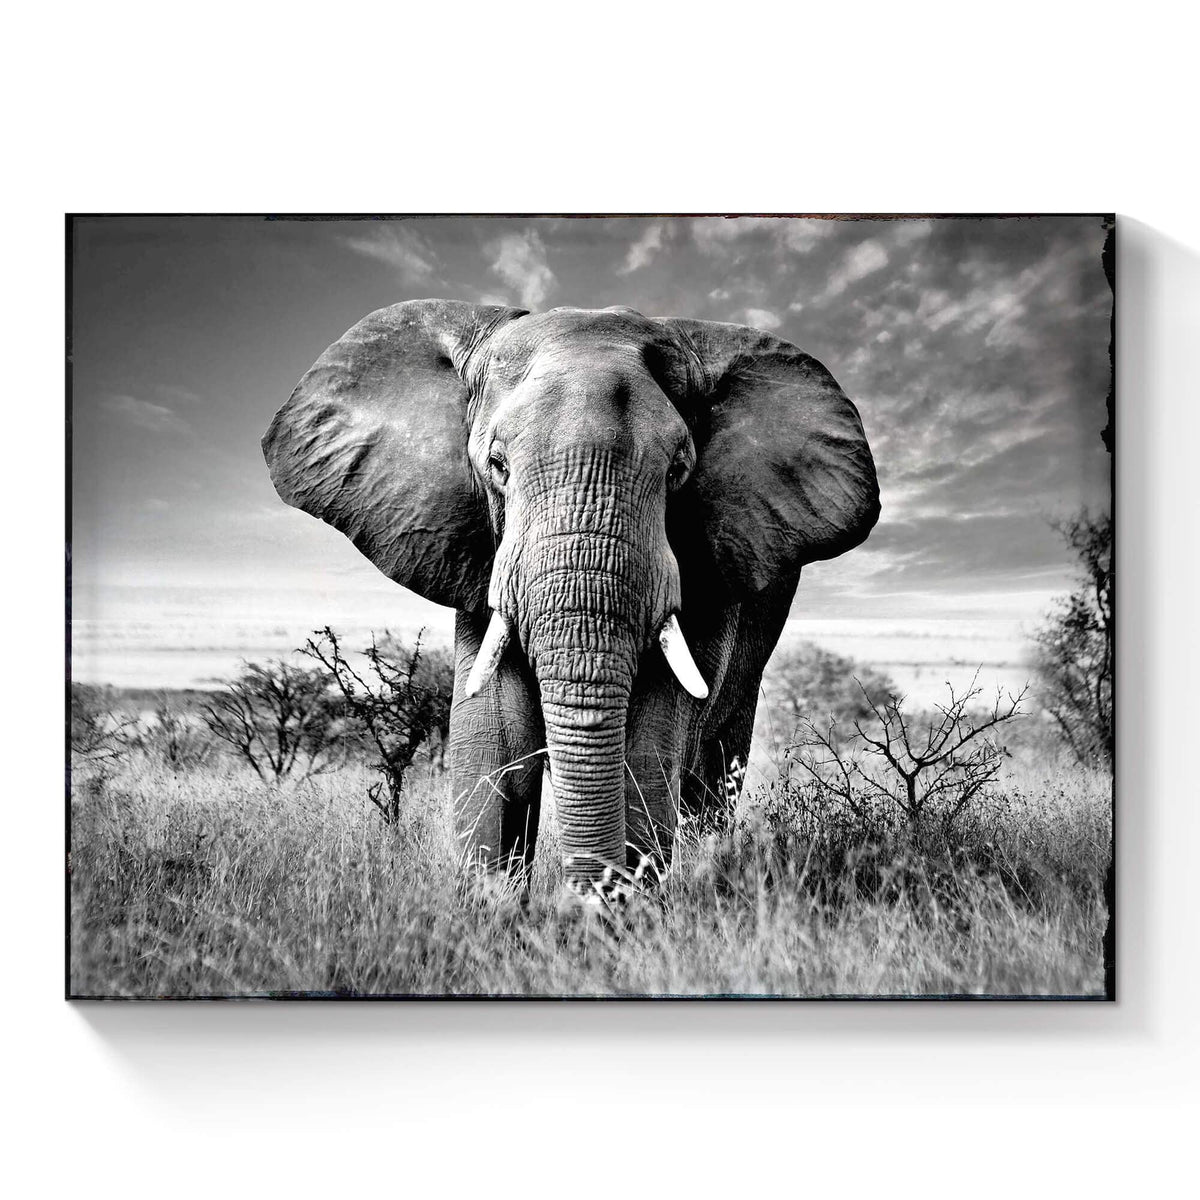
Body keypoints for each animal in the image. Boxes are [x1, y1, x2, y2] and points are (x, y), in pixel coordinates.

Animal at [262, 300, 879, 897]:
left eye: (678, 471)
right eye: (497, 466)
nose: (583, 903)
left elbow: (650, 741)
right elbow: (495, 735)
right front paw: (492, 910)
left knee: (714, 769)